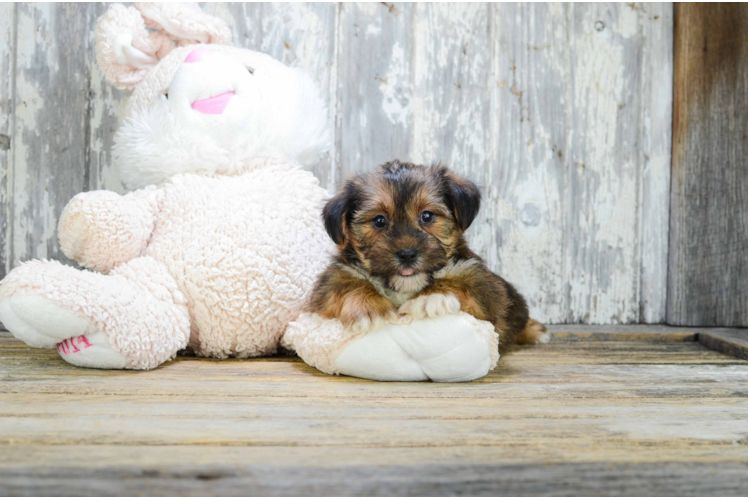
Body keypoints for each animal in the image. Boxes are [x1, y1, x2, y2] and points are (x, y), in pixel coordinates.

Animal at [306, 161, 548, 356]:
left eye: (427, 216)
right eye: (379, 221)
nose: (407, 254)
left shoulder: (486, 289)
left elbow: (459, 283)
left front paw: (431, 297)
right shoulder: (329, 284)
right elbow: (347, 284)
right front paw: (367, 307)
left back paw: (535, 330)